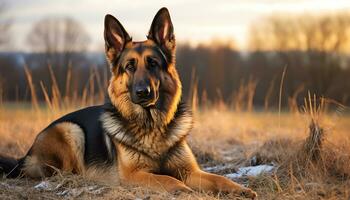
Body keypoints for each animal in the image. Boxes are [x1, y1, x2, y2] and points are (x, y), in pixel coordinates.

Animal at [0, 7, 258, 198]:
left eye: (153, 63)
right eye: (130, 67)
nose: (143, 92)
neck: (152, 126)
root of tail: (25, 156)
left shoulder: (189, 171)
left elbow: (218, 178)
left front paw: (240, 189)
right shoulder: (135, 175)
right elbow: (167, 179)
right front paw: (183, 190)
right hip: (71, 130)